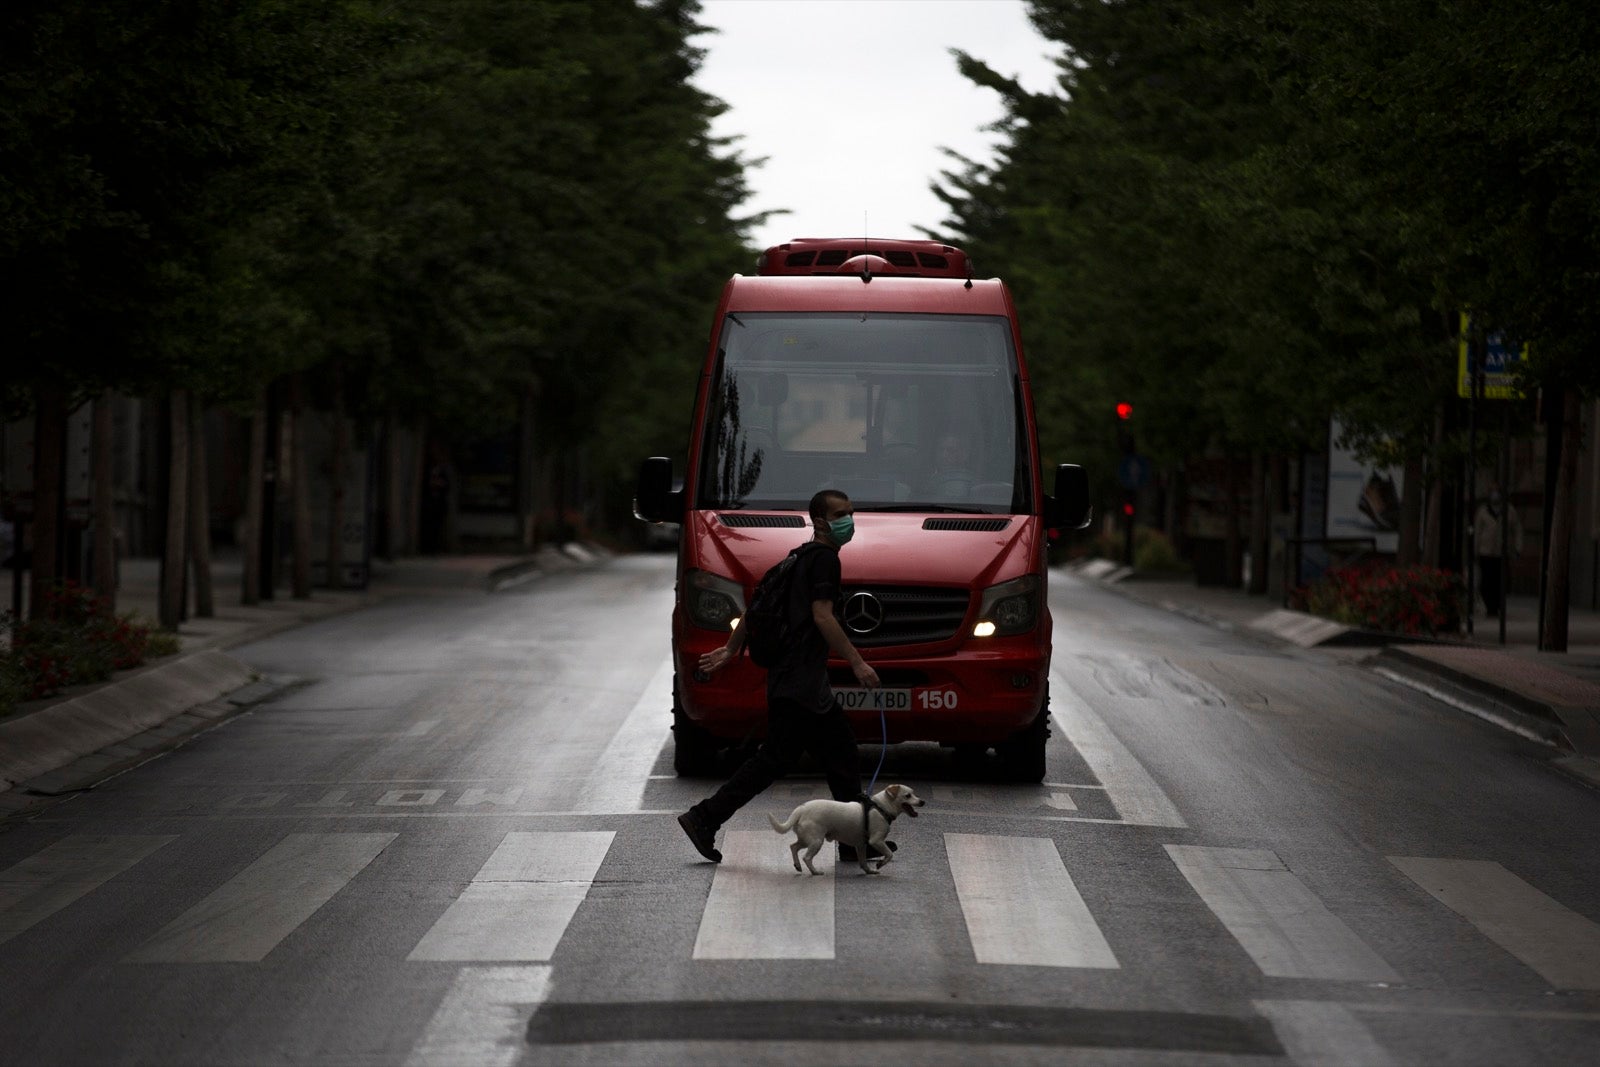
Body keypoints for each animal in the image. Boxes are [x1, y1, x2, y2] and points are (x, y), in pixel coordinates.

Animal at [771, 783, 928, 876]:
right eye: (908, 795)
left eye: (914, 793)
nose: (923, 801)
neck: (880, 807)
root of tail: (801, 809)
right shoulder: (876, 841)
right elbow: (889, 854)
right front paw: (880, 863)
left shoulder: (861, 845)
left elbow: (863, 861)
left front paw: (869, 871)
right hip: (816, 841)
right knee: (807, 857)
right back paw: (815, 871)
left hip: (806, 839)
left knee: (793, 847)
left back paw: (797, 865)